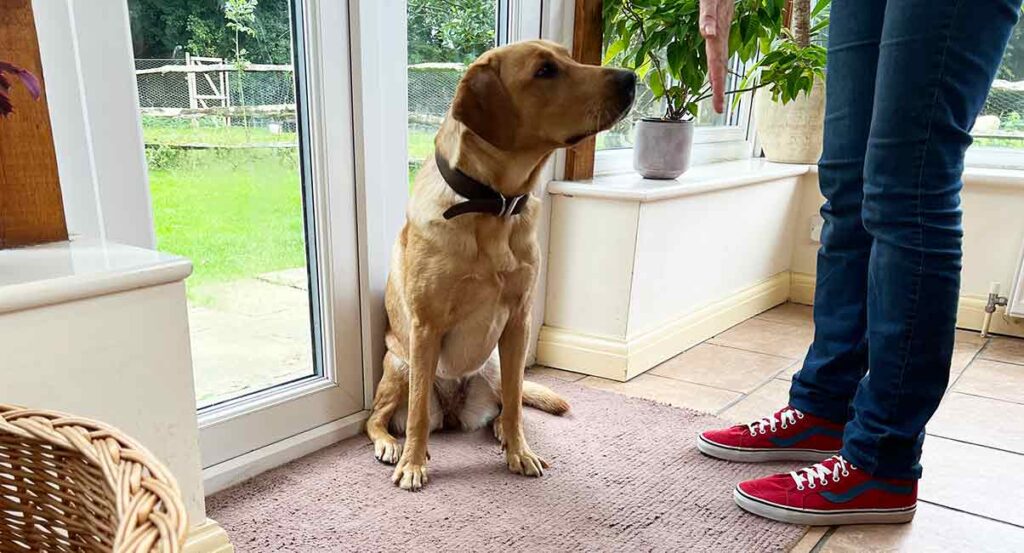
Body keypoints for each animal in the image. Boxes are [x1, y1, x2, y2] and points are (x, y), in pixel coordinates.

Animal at [368, 38, 634, 489]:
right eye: (544, 71)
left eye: (568, 56)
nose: (631, 78)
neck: (493, 205)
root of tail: (453, 413)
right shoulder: (426, 328)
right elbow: (417, 413)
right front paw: (414, 463)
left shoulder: (518, 322)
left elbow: (514, 403)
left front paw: (518, 451)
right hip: (399, 366)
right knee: (376, 418)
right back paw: (390, 445)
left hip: (491, 366)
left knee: (508, 403)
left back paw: (502, 434)